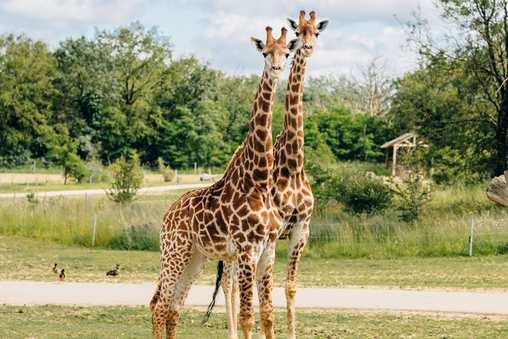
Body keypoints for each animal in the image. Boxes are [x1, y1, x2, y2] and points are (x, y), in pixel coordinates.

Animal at [151, 27, 302, 339]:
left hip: (196, 257)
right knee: (159, 306)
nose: (276, 69)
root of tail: (168, 214)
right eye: (265, 52)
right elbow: (247, 317)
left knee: (173, 308)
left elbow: (267, 315)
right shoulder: (246, 250)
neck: (258, 182)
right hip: (174, 252)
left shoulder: (268, 249)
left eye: (286, 53)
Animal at [211, 10, 330, 339]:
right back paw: (231, 332)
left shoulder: (301, 228)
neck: (293, 166)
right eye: (298, 31)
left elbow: (289, 288)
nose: (307, 48)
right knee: (229, 283)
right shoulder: (266, 239)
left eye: (316, 32)